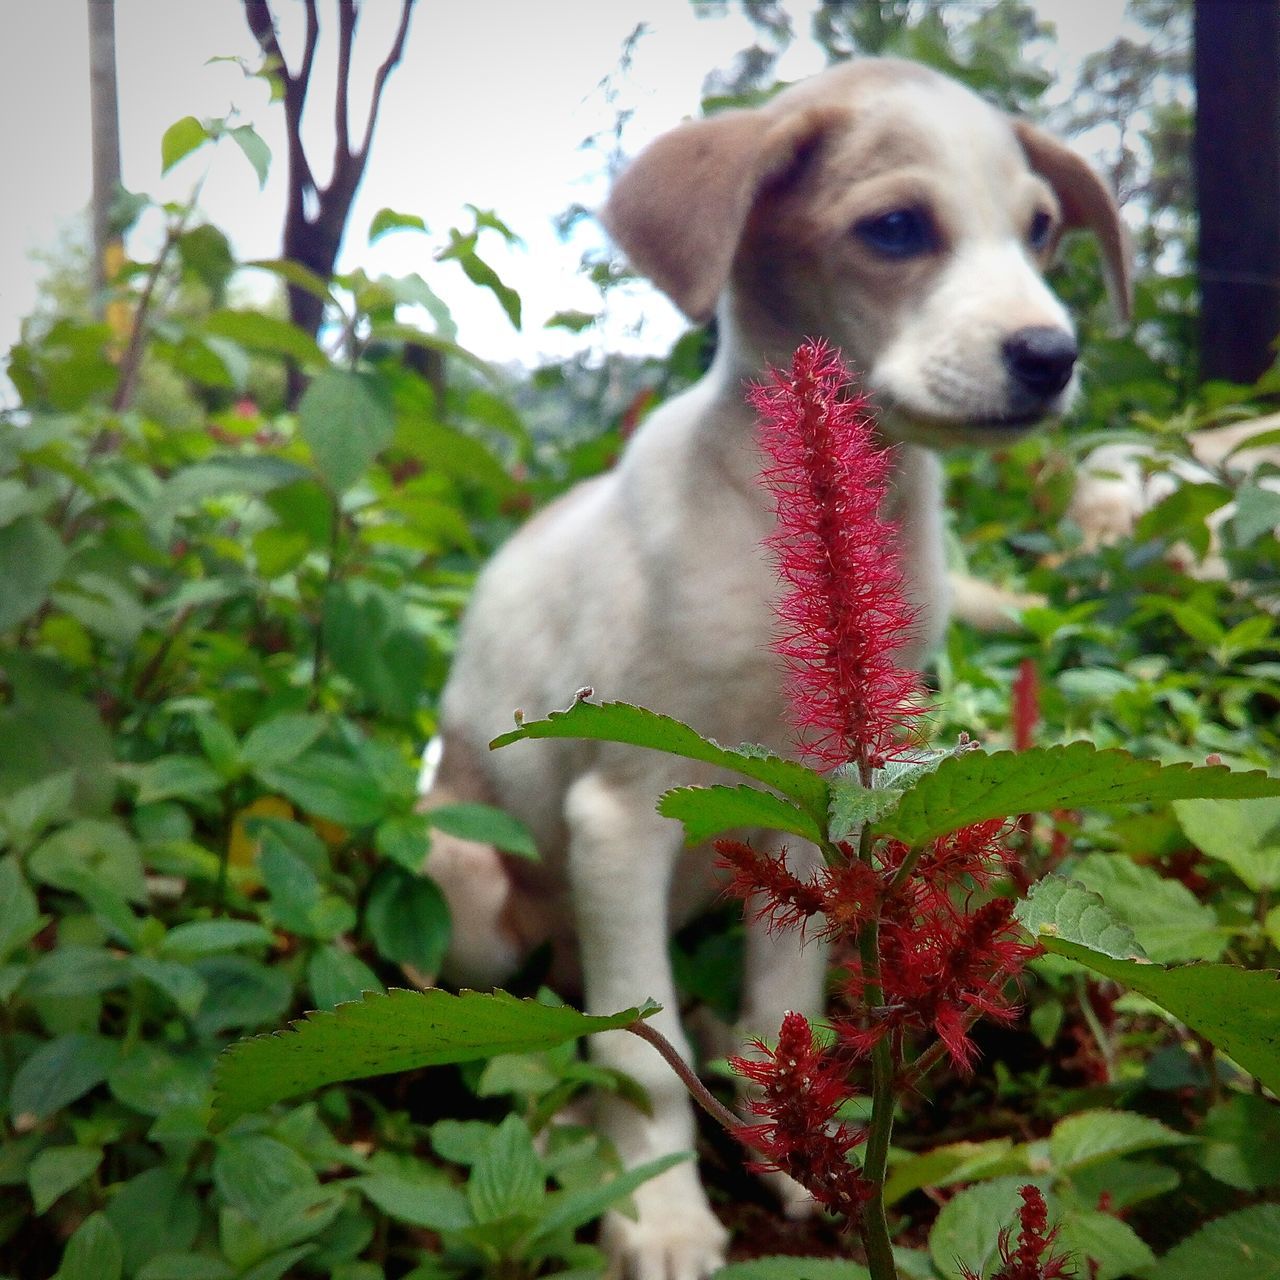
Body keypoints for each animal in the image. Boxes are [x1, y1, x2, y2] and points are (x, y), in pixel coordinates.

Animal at [422, 57, 1131, 1280]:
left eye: (1042, 229)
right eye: (894, 227)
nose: (1050, 355)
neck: (765, 533)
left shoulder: (819, 803)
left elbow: (779, 995)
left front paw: (800, 1146)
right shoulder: (621, 811)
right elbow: (637, 1051)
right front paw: (661, 1215)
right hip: (465, 881)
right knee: (553, 1022)